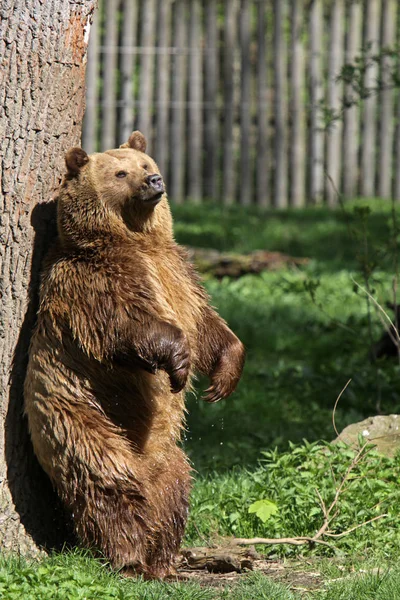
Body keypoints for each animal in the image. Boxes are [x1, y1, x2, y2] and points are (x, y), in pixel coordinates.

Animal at [24, 132, 244, 580]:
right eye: (120, 172)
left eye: (146, 163)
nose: (154, 181)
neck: (135, 239)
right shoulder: (91, 282)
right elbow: (129, 326)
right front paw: (178, 365)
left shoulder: (179, 273)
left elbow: (208, 325)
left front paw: (224, 378)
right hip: (80, 418)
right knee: (107, 487)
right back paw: (128, 558)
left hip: (164, 455)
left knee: (174, 490)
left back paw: (164, 561)